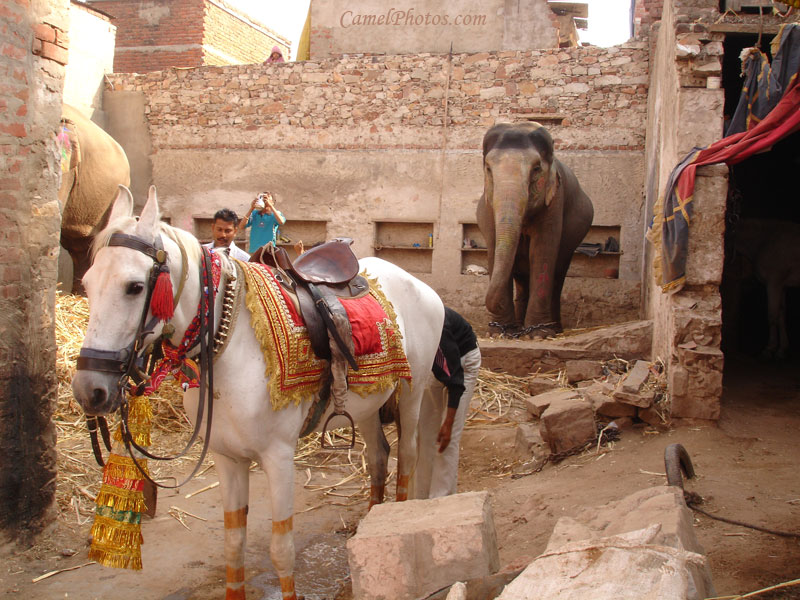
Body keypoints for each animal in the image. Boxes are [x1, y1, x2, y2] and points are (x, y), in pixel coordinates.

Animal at [72, 185, 444, 596]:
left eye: (135, 287)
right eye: (87, 284)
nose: (90, 389)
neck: (232, 345)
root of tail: (420, 286)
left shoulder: (278, 457)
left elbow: (282, 550)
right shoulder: (227, 458)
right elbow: (234, 544)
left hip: (411, 392)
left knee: (406, 458)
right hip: (367, 404)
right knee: (378, 456)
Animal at [476, 122, 592, 338]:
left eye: (536, 168)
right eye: (488, 168)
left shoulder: (554, 202)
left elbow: (542, 254)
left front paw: (539, 334)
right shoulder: (489, 208)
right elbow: (495, 249)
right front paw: (498, 333)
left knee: (557, 275)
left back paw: (551, 328)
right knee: (523, 280)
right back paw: (519, 327)